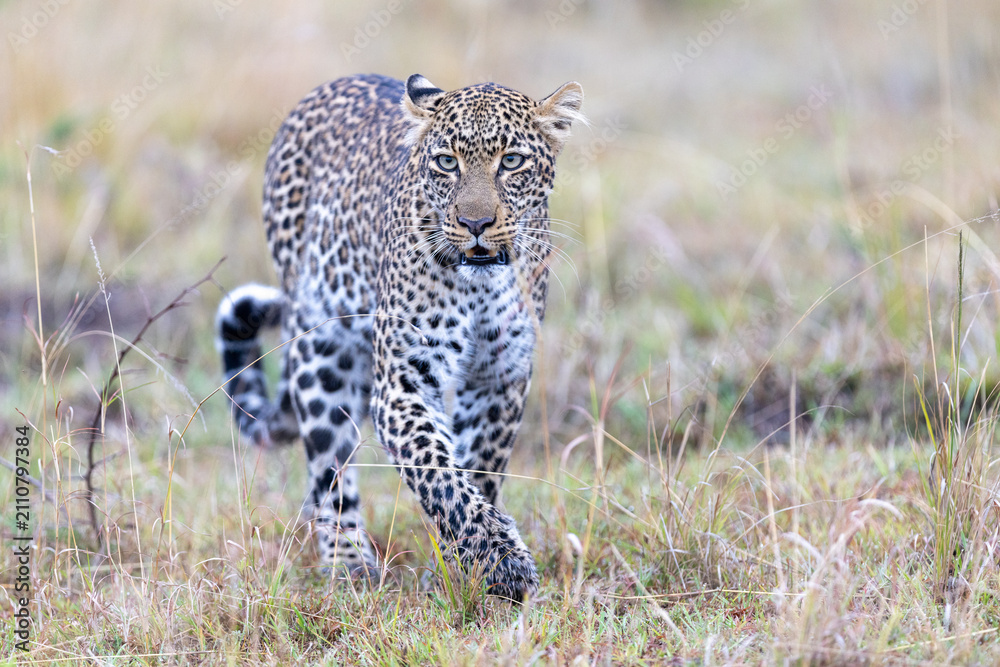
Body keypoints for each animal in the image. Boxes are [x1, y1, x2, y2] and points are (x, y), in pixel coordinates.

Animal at [215, 73, 583, 600]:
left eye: (512, 161)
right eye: (447, 162)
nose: (475, 224)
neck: (481, 283)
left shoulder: (500, 378)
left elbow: (475, 472)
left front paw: (460, 567)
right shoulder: (403, 383)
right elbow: (438, 473)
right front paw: (505, 564)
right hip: (320, 354)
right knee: (329, 472)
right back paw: (349, 566)